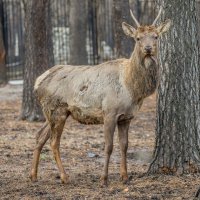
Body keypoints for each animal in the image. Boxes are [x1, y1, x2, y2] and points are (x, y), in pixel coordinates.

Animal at [29, 9, 170, 186]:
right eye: (138, 38)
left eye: (156, 36)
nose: (148, 48)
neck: (132, 89)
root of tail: (37, 82)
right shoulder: (109, 112)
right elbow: (108, 146)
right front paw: (104, 179)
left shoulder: (126, 117)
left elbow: (124, 145)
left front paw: (125, 177)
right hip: (57, 110)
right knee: (54, 142)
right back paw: (64, 177)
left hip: (53, 113)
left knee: (39, 136)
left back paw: (33, 175)